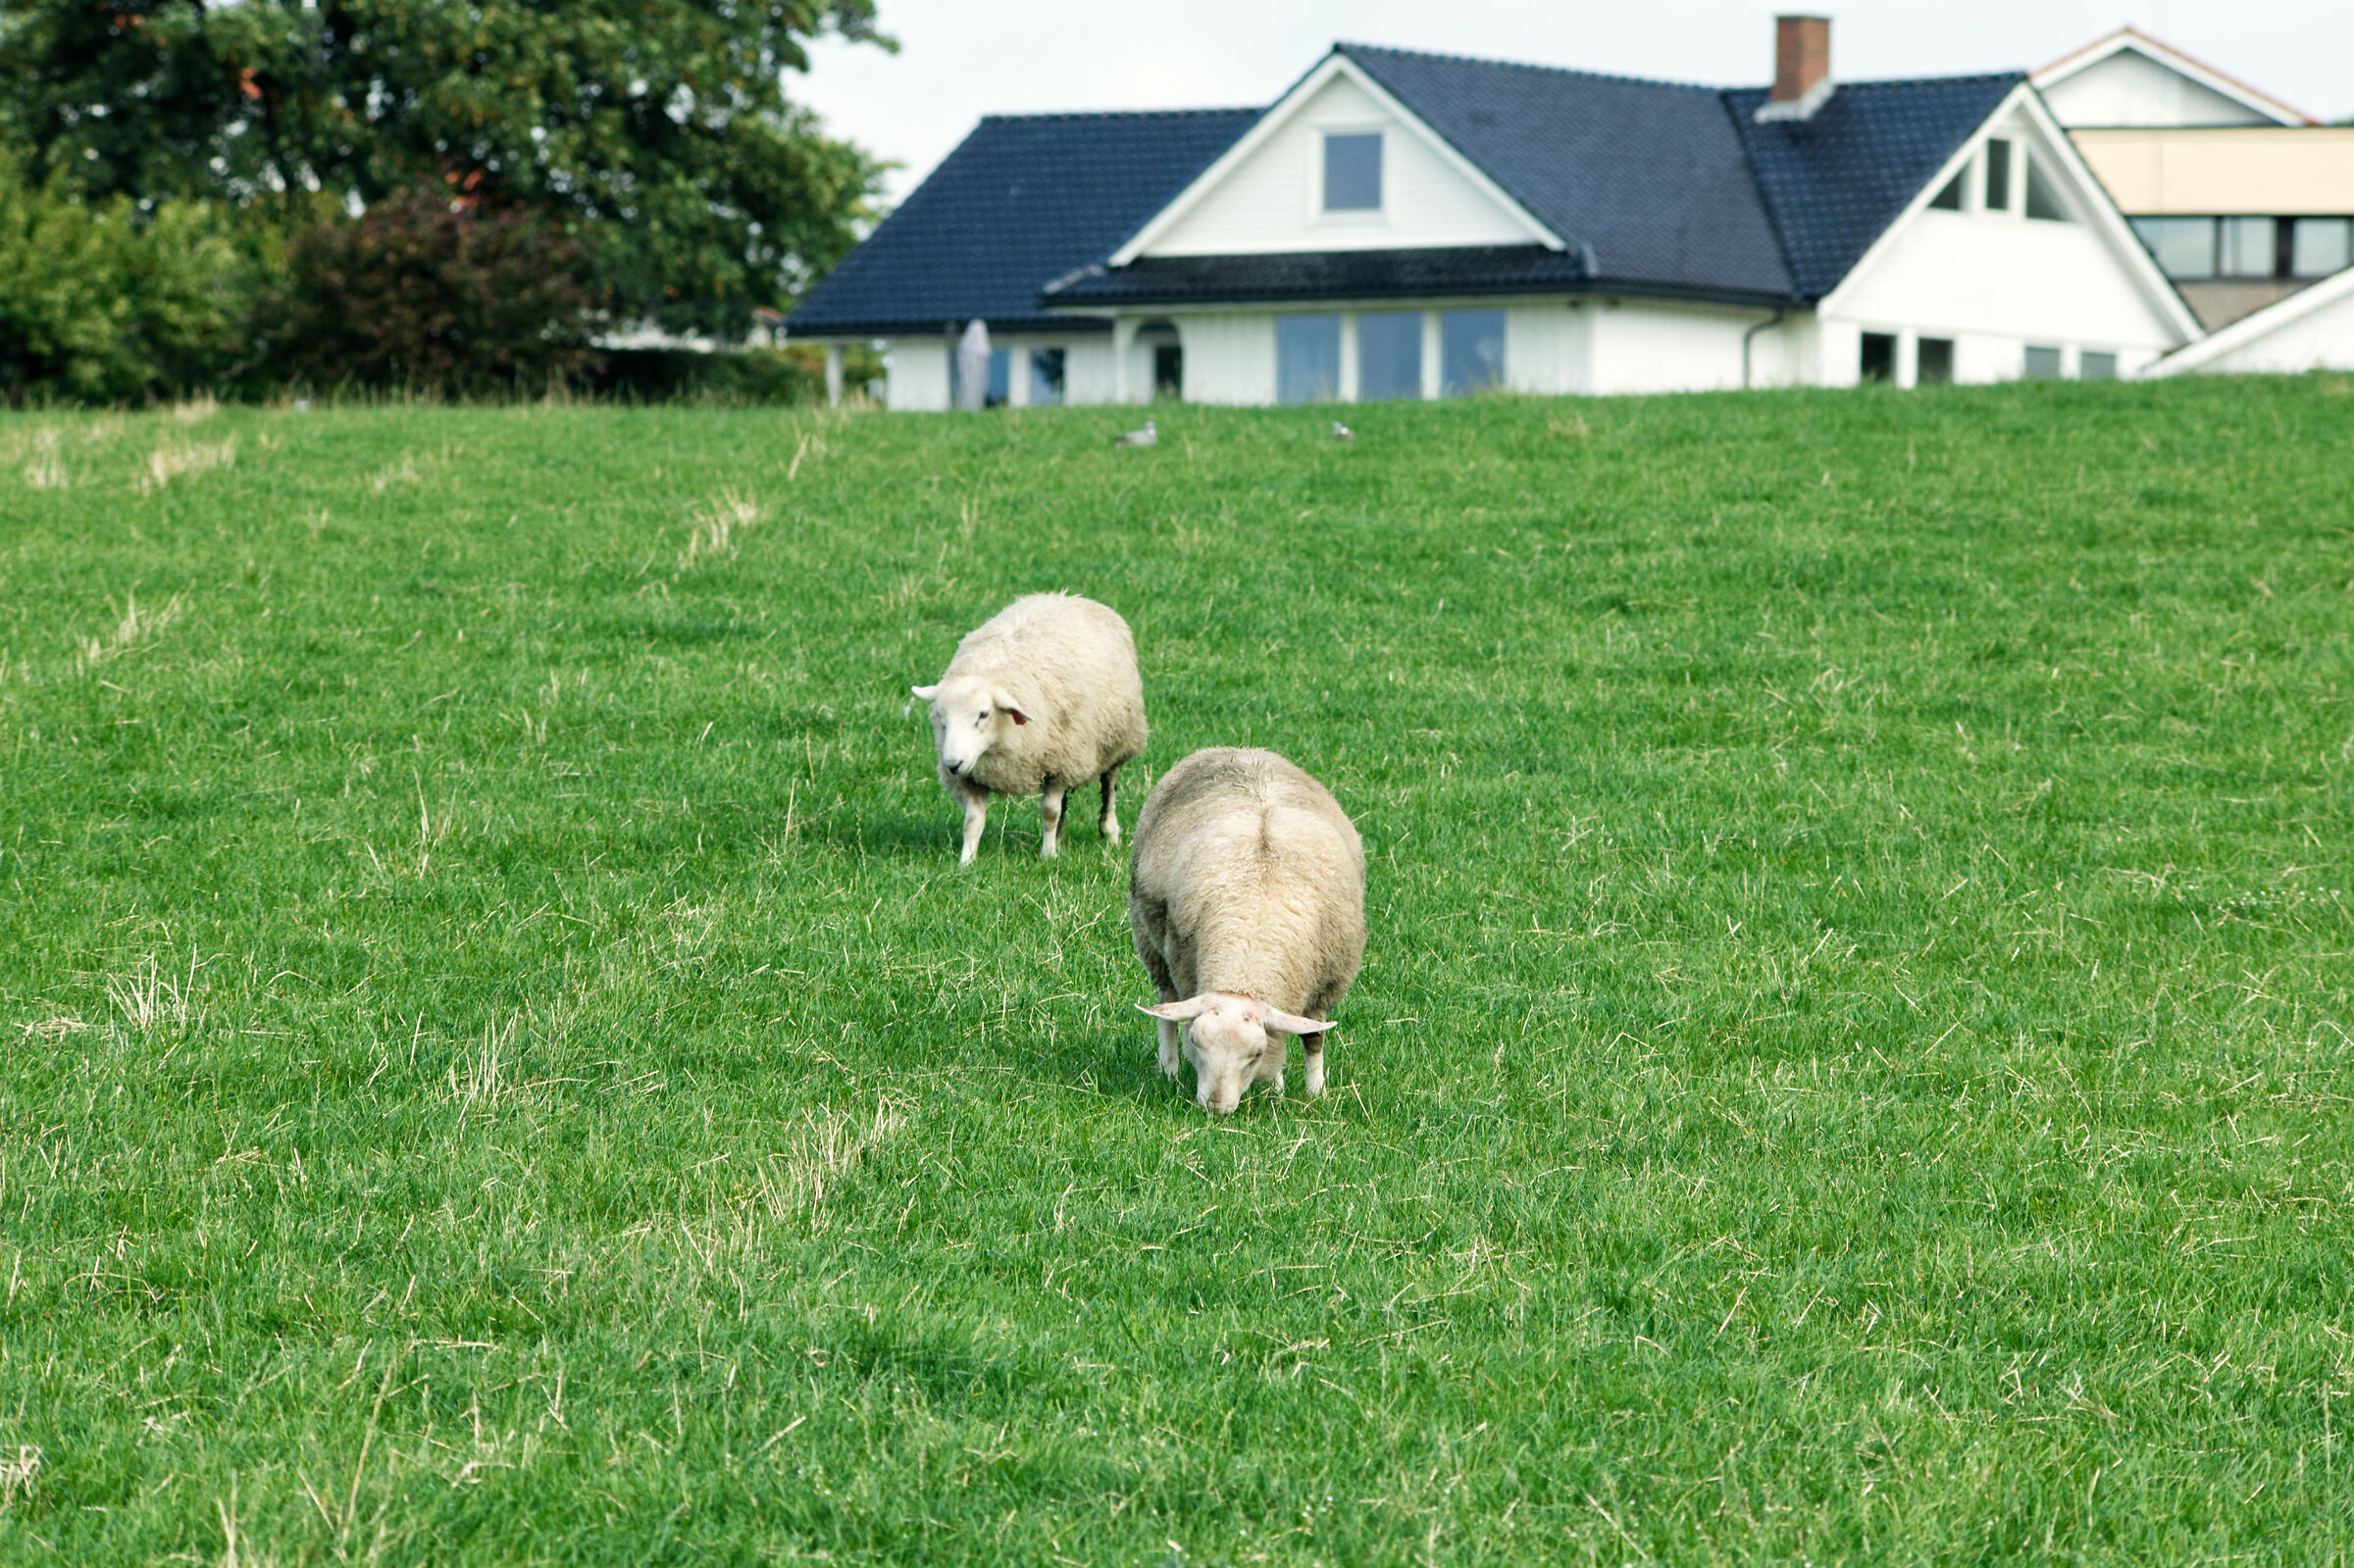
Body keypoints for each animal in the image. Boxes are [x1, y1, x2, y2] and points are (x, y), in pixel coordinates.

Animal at [910, 593, 1148, 866]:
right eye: (940, 718)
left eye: (983, 715)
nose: (952, 765)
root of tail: (1069, 596)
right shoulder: (973, 778)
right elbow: (972, 822)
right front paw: (966, 862)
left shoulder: (1060, 765)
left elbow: (1050, 813)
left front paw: (1048, 856)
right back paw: (1062, 837)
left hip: (1116, 743)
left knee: (1108, 787)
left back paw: (1108, 833)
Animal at [1128, 747, 1366, 1114]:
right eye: (1195, 1042)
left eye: (1255, 1054)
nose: (1215, 1108)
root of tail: (1242, 750)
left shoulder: (1327, 984)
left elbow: (1313, 1037)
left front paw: (1314, 1093)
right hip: (1151, 945)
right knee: (1166, 1009)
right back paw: (1168, 1071)